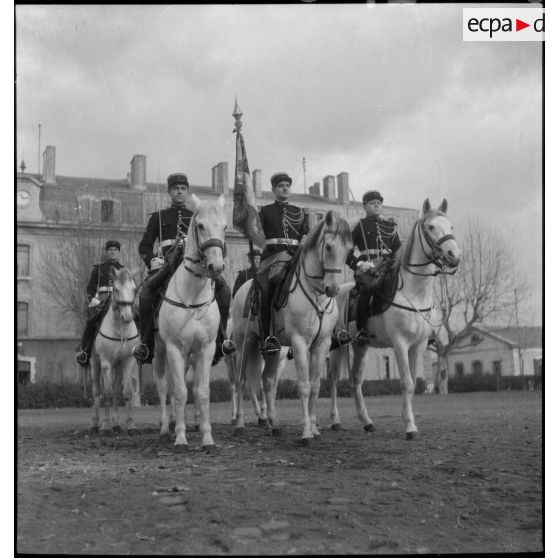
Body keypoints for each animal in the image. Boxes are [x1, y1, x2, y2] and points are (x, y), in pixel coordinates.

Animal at [90, 270, 141, 438]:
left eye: (134, 289)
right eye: (116, 289)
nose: (128, 317)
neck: (119, 329)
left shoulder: (128, 361)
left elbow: (127, 393)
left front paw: (131, 425)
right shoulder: (106, 363)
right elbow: (107, 393)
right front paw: (105, 426)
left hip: (118, 367)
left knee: (117, 391)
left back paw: (117, 423)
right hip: (94, 365)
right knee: (97, 392)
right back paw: (95, 424)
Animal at [153, 195, 228, 452]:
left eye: (225, 227)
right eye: (200, 225)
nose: (216, 267)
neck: (192, 295)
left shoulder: (205, 348)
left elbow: (201, 392)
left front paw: (207, 438)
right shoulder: (175, 349)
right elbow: (179, 393)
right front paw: (180, 438)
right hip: (160, 353)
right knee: (164, 387)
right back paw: (165, 428)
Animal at [232, 211, 354, 446]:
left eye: (349, 249)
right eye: (328, 247)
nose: (333, 289)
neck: (315, 293)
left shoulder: (321, 345)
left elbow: (315, 386)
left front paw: (315, 429)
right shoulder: (299, 343)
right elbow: (304, 386)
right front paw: (306, 433)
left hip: (275, 349)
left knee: (268, 381)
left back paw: (274, 425)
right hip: (245, 342)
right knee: (241, 379)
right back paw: (240, 424)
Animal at [330, 199, 462, 440]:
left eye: (450, 226)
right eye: (430, 227)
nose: (453, 255)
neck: (414, 292)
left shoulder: (418, 345)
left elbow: (412, 383)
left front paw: (409, 421)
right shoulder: (400, 343)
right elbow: (407, 382)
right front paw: (409, 426)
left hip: (360, 346)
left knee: (356, 380)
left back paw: (367, 422)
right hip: (337, 345)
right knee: (333, 380)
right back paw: (335, 421)